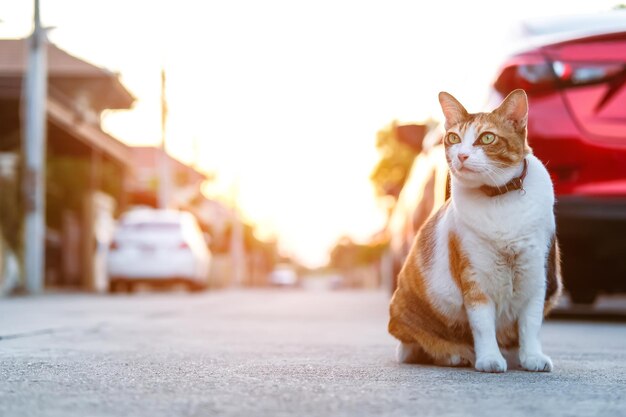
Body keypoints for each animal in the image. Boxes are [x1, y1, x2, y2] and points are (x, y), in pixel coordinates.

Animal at [388, 89, 564, 372]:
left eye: (487, 137)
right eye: (453, 138)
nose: (461, 156)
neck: (500, 197)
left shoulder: (536, 275)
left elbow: (531, 323)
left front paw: (532, 357)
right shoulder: (475, 278)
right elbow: (482, 324)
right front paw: (489, 358)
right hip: (405, 313)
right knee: (414, 345)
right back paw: (455, 353)